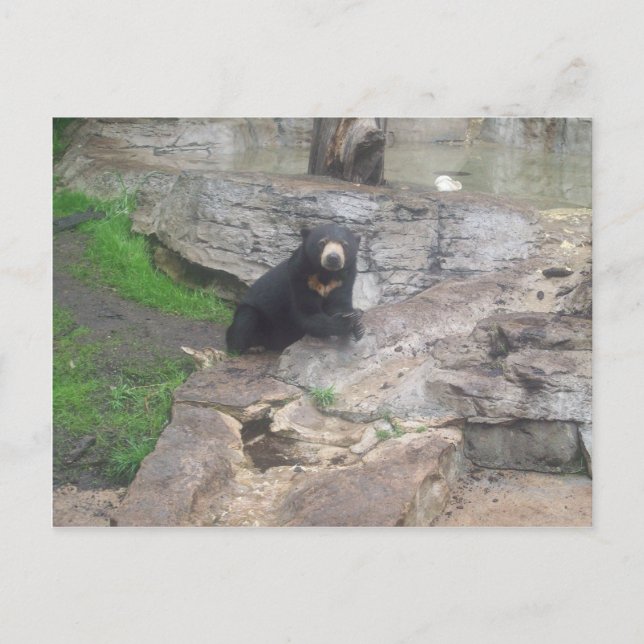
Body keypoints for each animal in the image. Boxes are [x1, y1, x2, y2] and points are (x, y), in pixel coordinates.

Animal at [225, 223, 364, 354]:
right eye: (322, 243)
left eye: (345, 245)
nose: (333, 258)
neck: (326, 273)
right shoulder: (299, 276)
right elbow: (307, 313)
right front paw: (347, 322)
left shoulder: (343, 280)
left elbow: (339, 304)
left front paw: (357, 324)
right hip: (253, 313)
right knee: (245, 321)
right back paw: (252, 347)